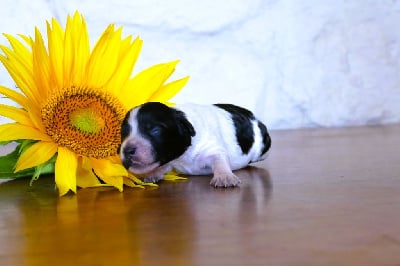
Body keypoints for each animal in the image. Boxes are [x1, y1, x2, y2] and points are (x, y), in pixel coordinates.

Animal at [118, 102, 272, 187]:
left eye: (155, 130)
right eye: (123, 133)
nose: (127, 150)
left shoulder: (213, 148)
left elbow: (219, 160)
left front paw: (224, 176)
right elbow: (164, 166)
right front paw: (153, 173)